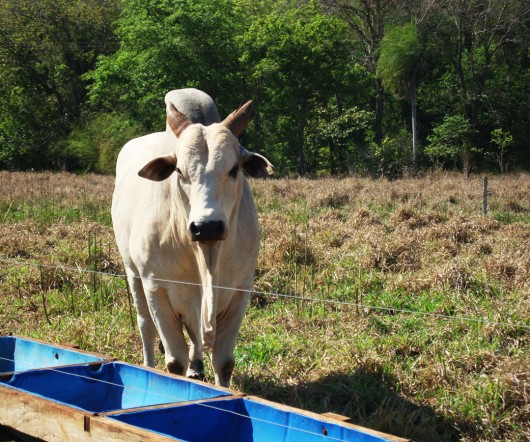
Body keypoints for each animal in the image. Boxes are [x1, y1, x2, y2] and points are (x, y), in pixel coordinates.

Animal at [113, 88, 274, 386]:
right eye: (179, 171)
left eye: (234, 169)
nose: (207, 226)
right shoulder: (157, 289)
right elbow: (174, 361)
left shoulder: (240, 291)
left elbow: (224, 362)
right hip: (133, 273)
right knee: (146, 326)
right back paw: (148, 365)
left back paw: (197, 366)